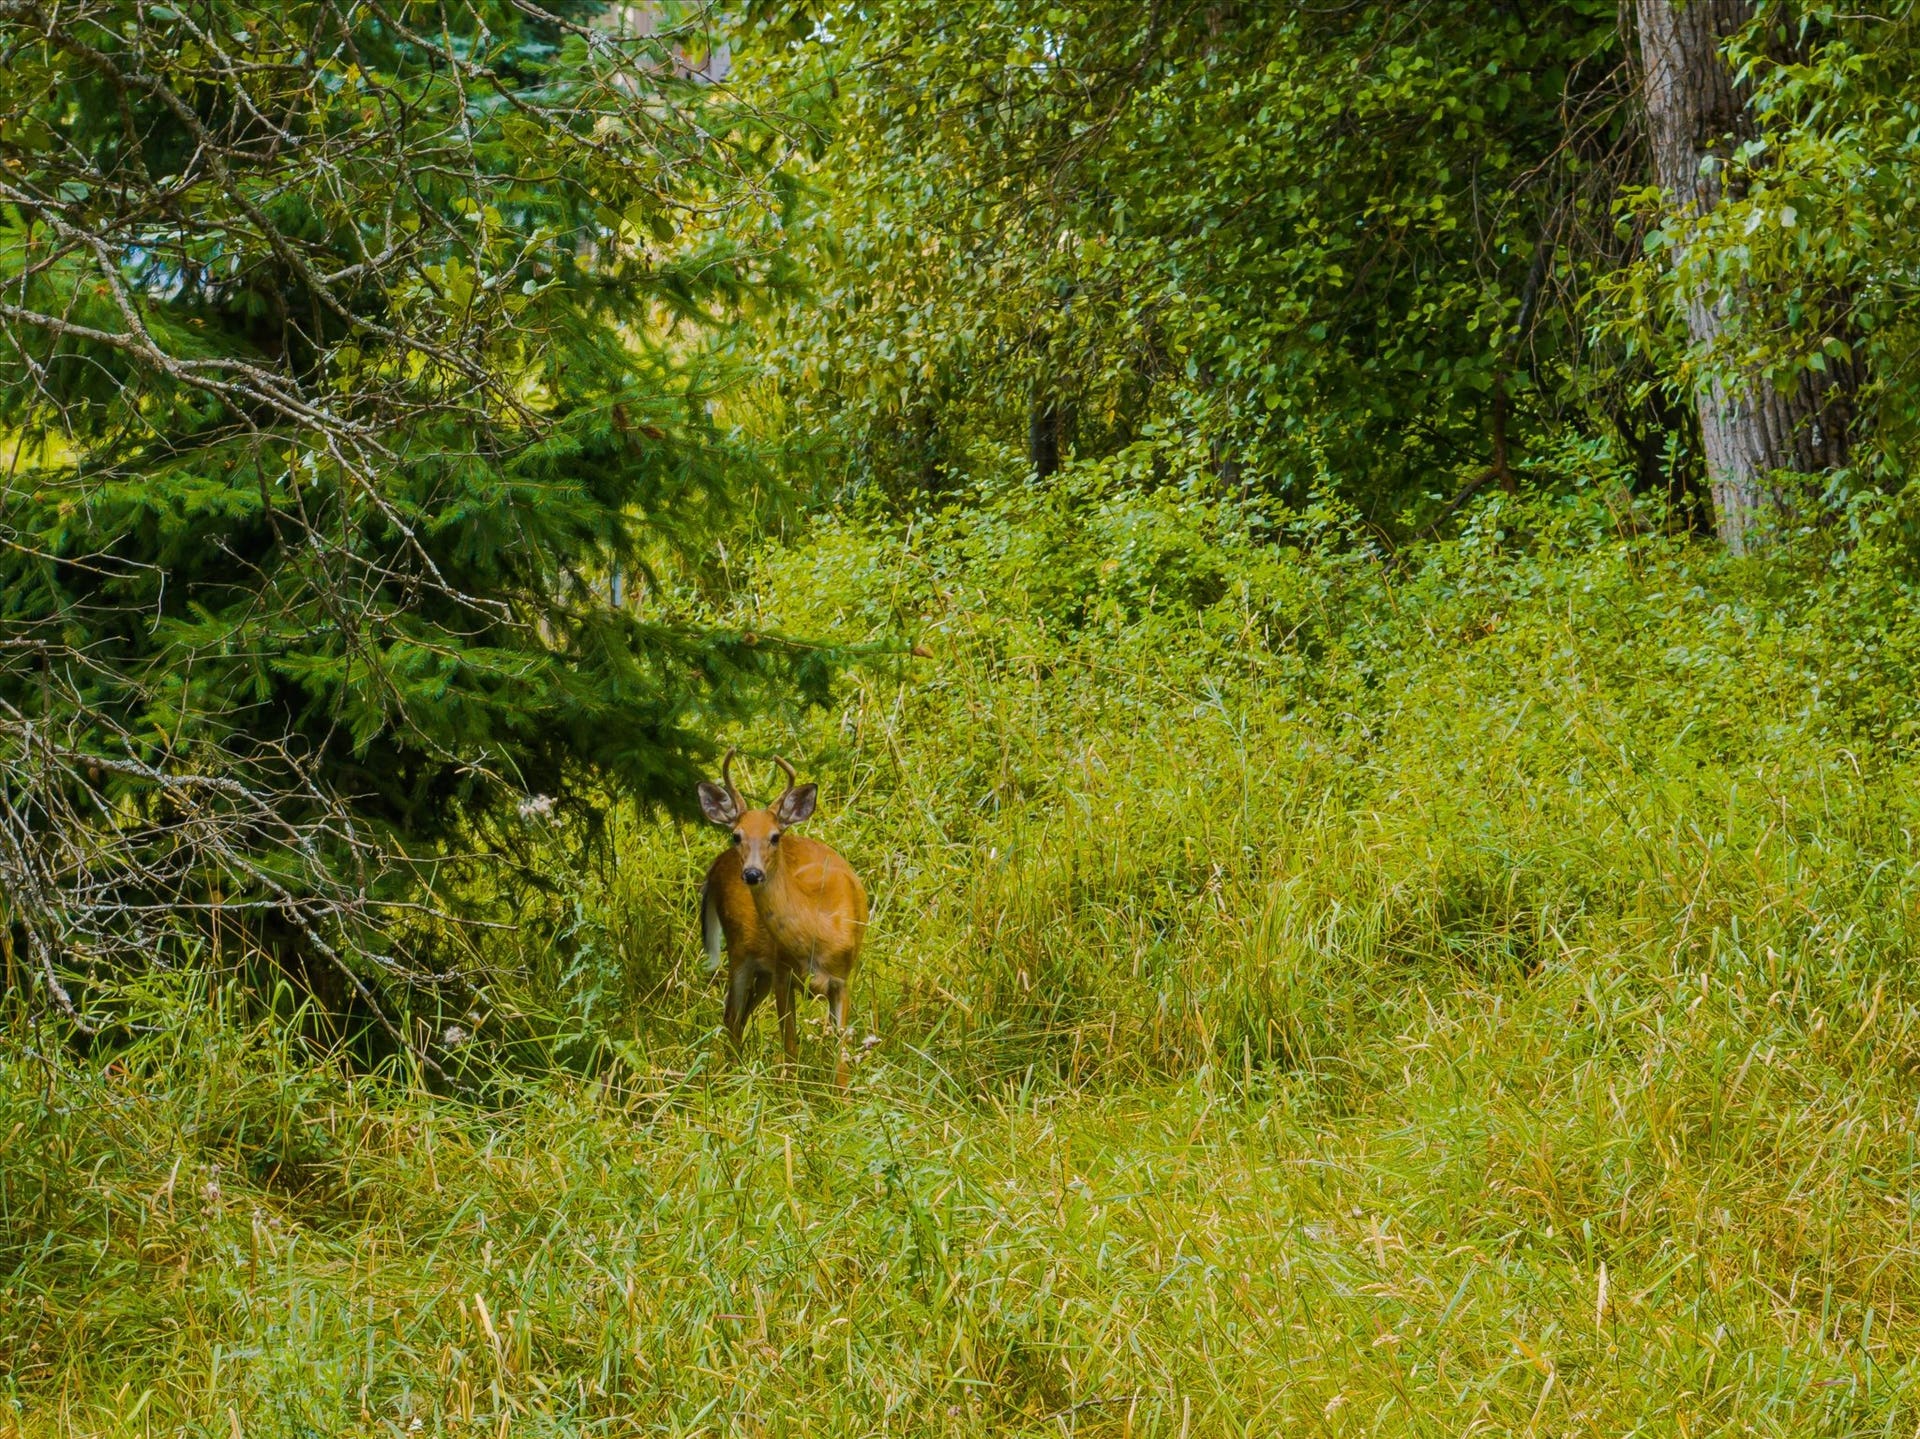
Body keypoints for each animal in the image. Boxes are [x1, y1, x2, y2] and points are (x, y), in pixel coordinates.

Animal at [697, 751, 868, 1087]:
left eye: (775, 836)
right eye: (736, 835)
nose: (752, 873)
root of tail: (717, 864)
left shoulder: (843, 978)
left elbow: (840, 1058)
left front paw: (841, 1097)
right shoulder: (782, 973)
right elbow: (790, 1046)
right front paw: (790, 1092)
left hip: (761, 971)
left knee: (739, 1017)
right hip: (740, 951)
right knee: (731, 1016)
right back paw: (733, 1076)